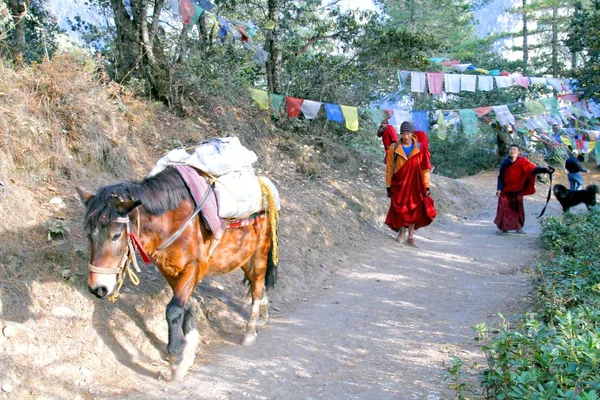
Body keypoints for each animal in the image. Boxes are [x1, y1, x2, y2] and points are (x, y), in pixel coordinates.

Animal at [77, 166, 278, 382]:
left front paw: (176, 358)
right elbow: (185, 306)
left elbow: (173, 309)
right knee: (258, 286)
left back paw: (250, 331)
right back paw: (264, 315)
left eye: (115, 235)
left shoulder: (194, 267)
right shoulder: (169, 269)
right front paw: (188, 350)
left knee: (256, 288)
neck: (171, 222)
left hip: (258, 256)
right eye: (89, 234)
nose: (97, 288)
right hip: (244, 259)